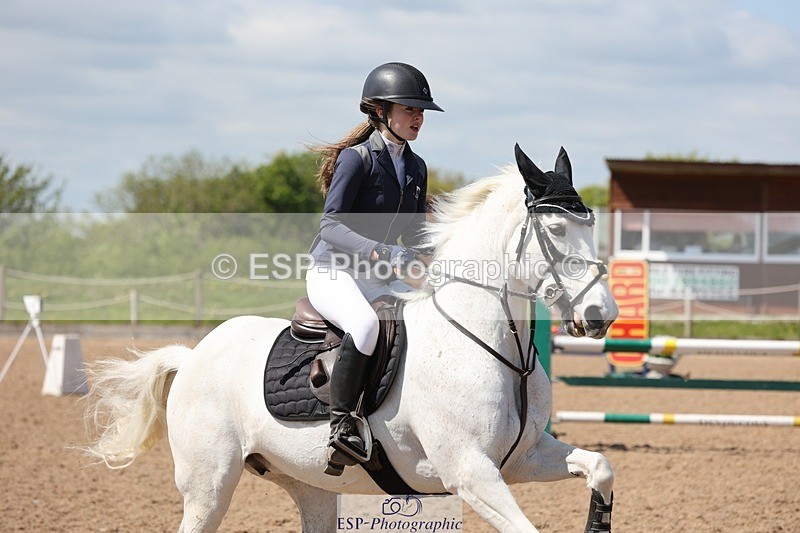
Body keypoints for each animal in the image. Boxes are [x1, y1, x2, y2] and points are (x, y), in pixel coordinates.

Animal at [84, 144, 619, 532]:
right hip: (208, 486)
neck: (498, 351)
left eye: (591, 225)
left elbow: (600, 467)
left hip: (309, 484)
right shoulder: (470, 472)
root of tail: (194, 355)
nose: (602, 315)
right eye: (556, 229)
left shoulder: (522, 459)